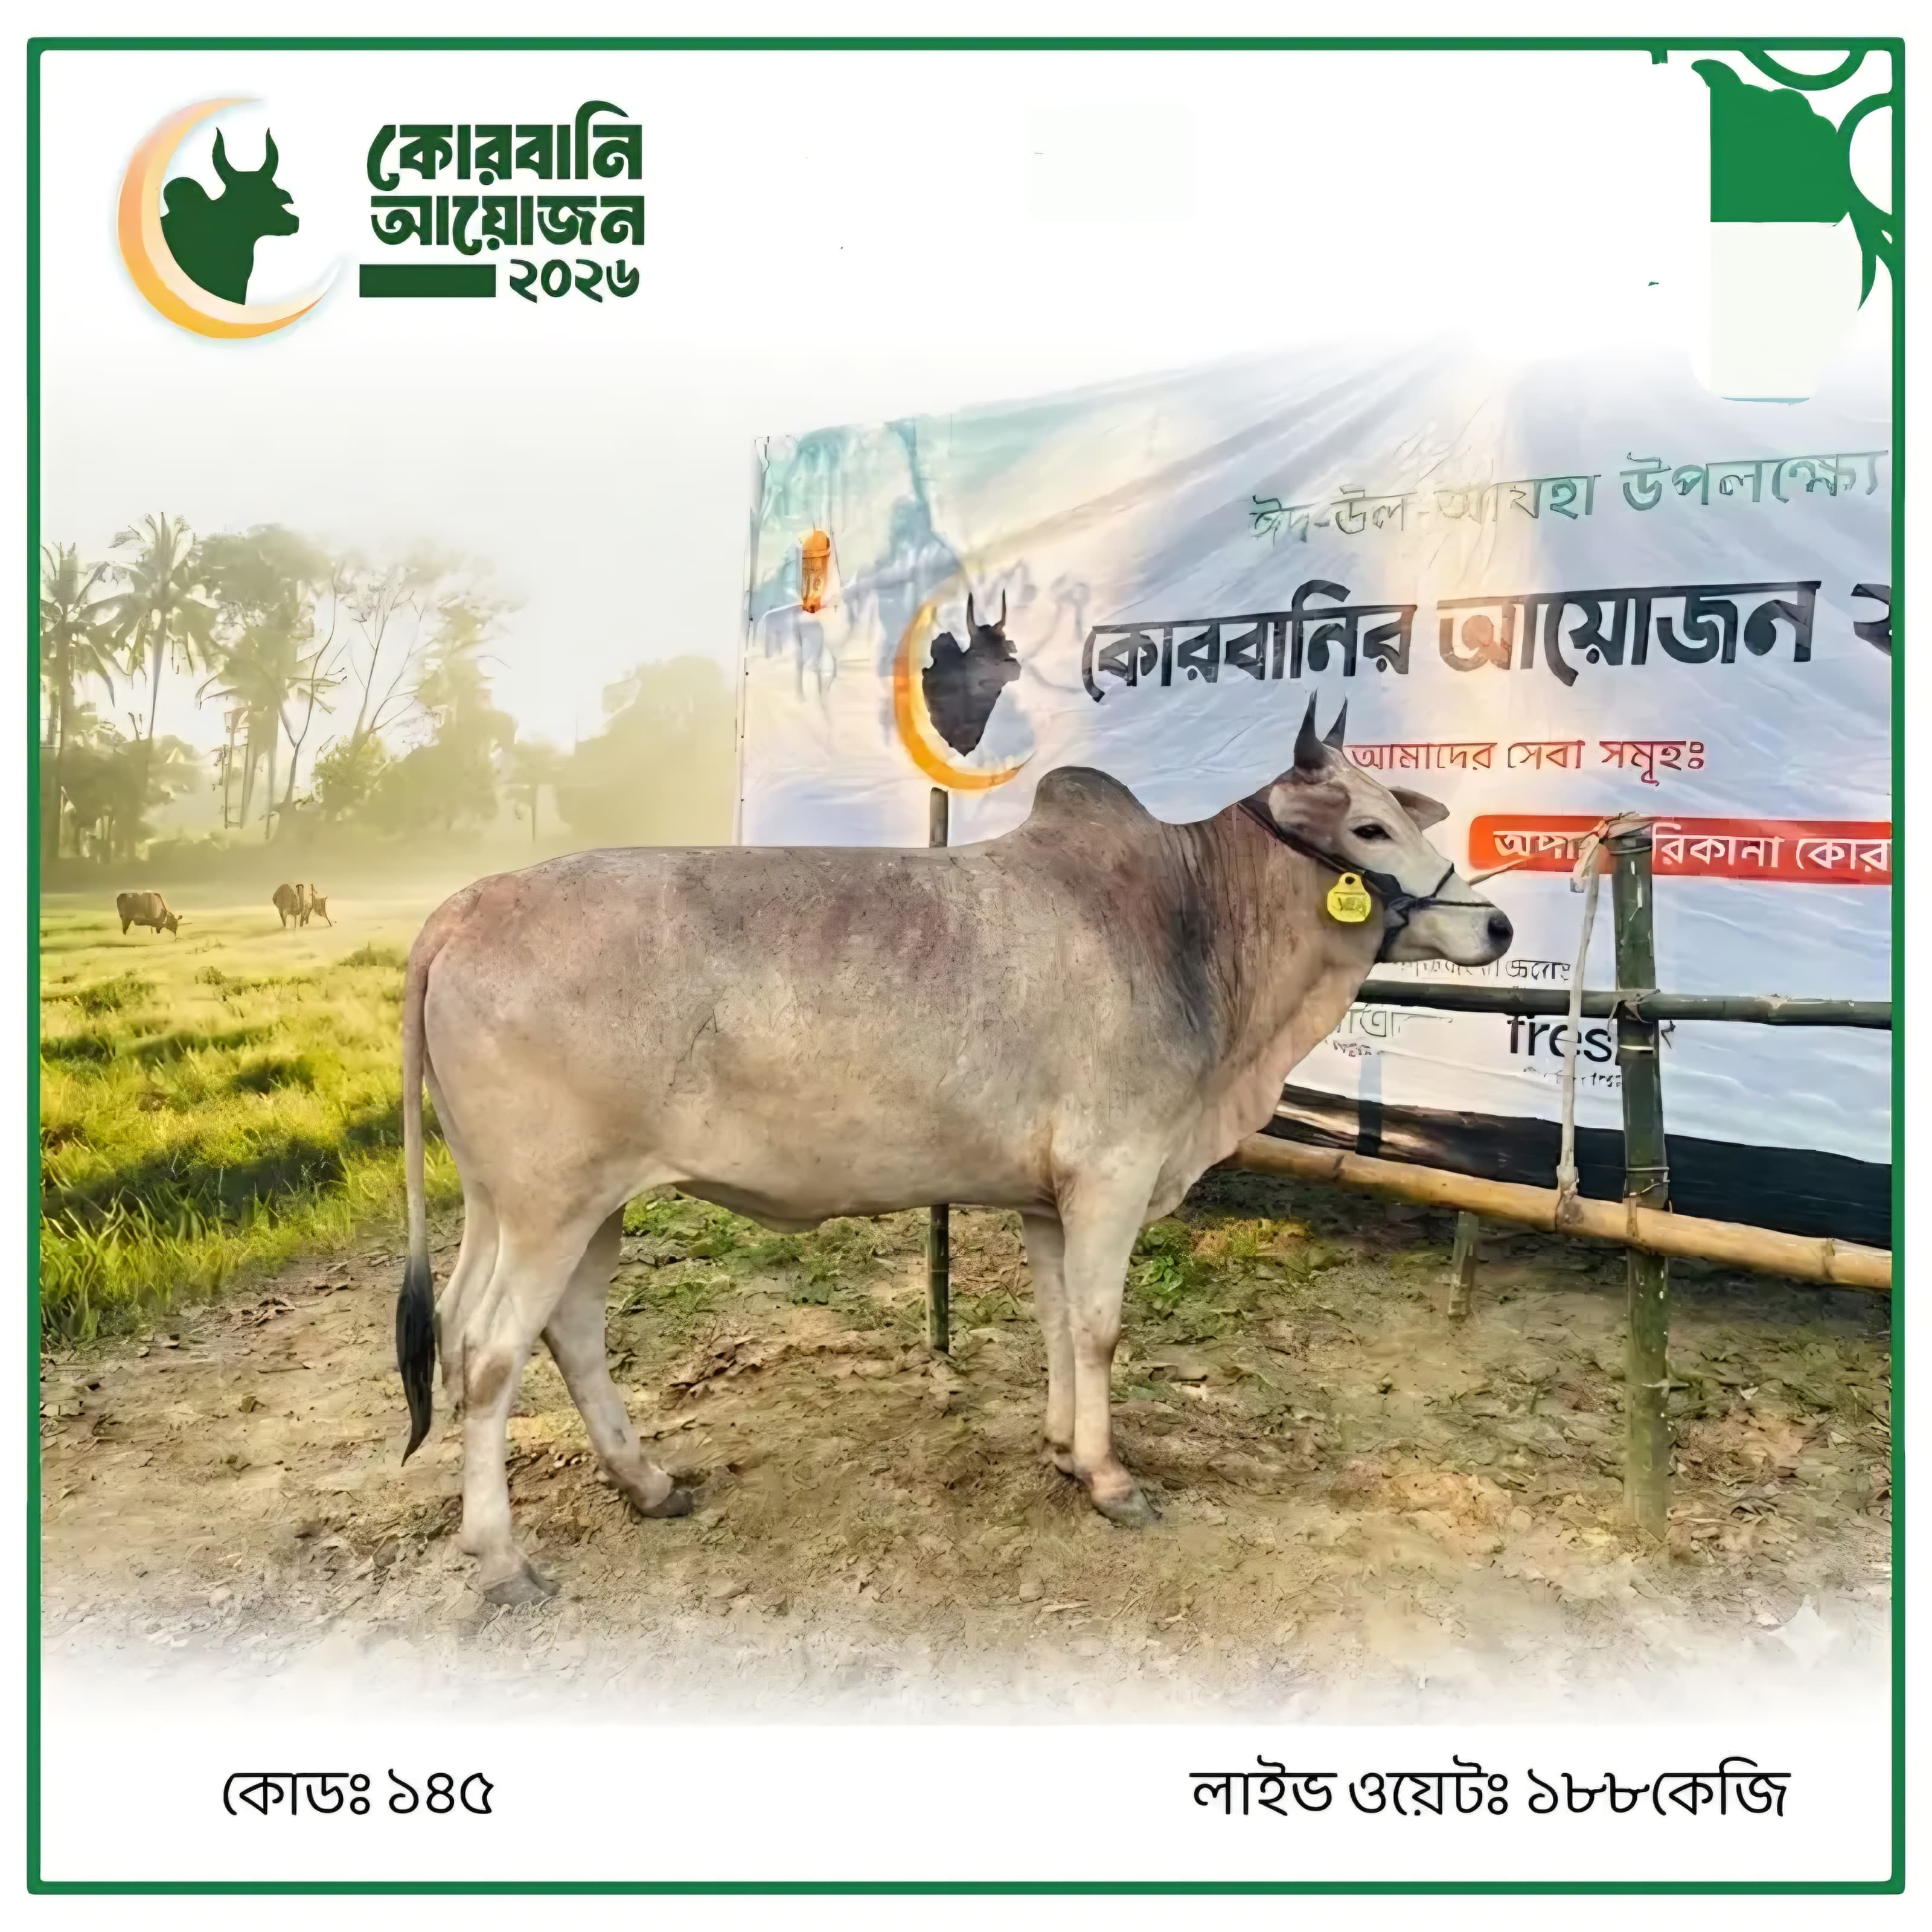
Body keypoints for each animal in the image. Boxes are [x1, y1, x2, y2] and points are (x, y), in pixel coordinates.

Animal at [394, 700, 1514, 1604]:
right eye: (1368, 827)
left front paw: (1065, 1450)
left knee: (533, 1331)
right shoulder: (1113, 1172)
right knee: (491, 1352)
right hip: (551, 1206)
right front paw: (1112, 1479)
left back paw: (649, 1483)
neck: (1189, 927)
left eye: (1407, 813)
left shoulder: (1049, 1197)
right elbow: (1100, 1328)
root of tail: (466, 904)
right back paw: (502, 1558)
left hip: (540, 1206)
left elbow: (1058, 1323)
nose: (1499, 924)